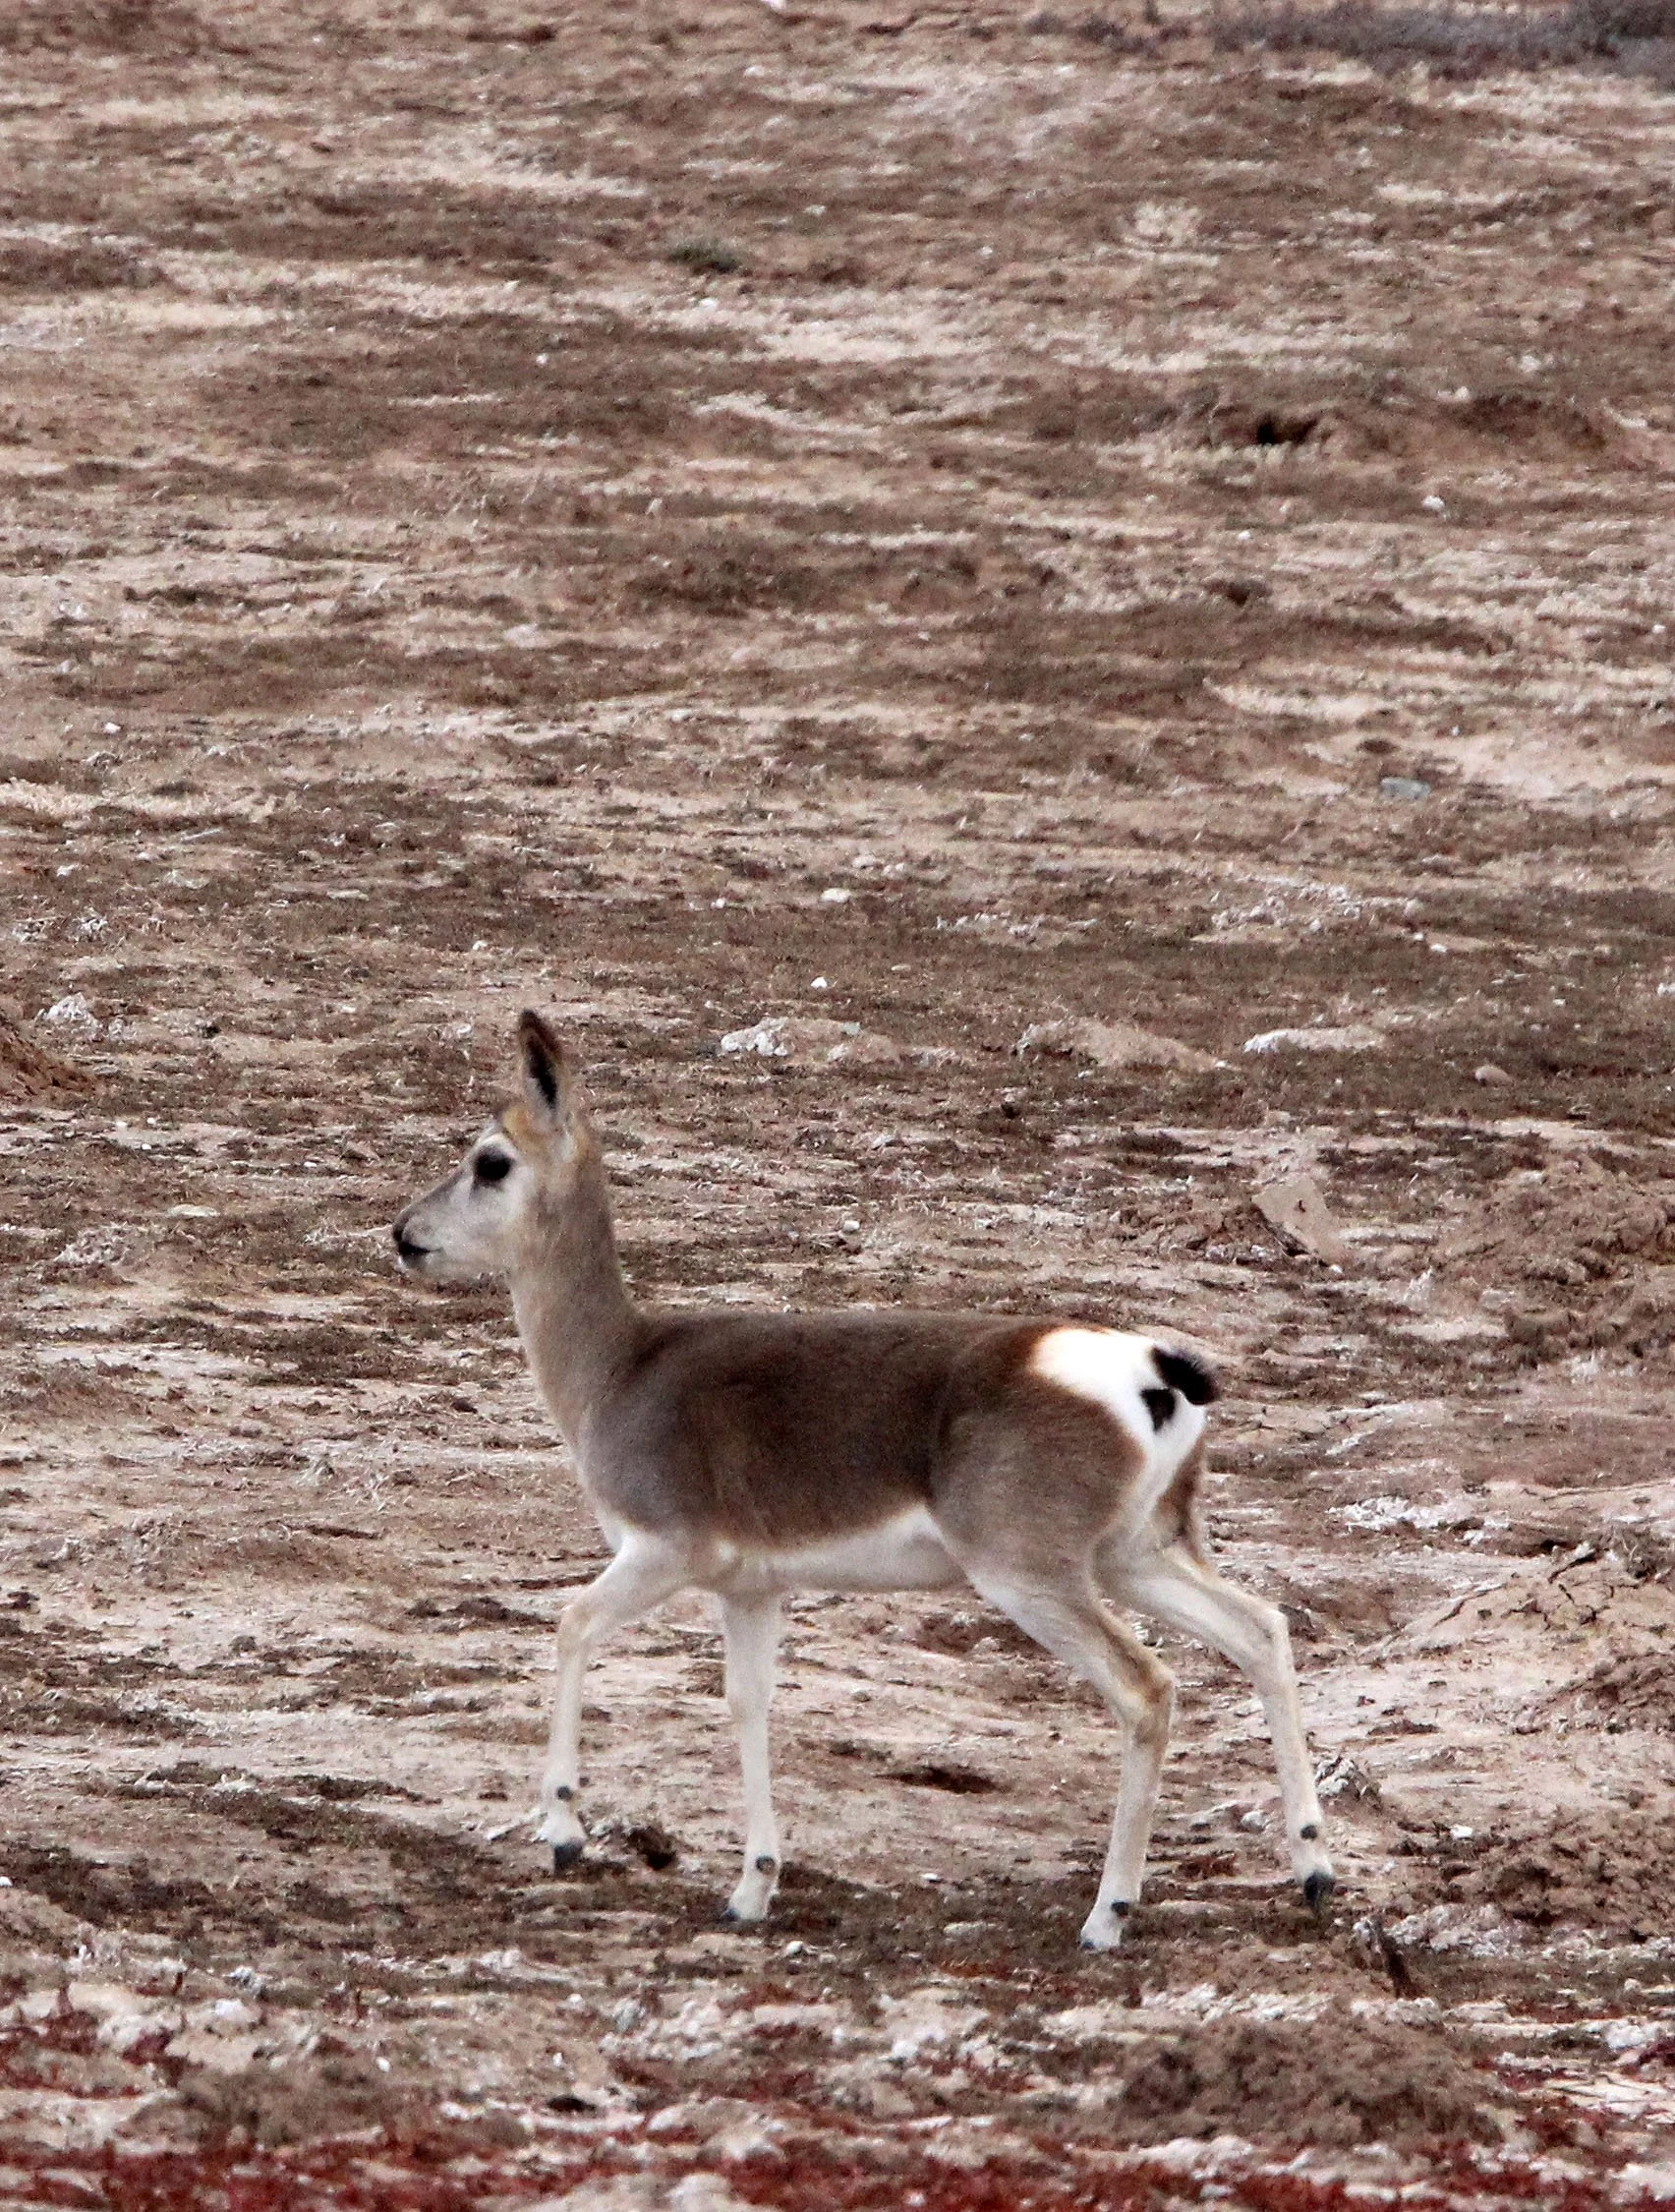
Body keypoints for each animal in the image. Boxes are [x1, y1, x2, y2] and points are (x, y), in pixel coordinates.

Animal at [391, 1011, 1334, 1949]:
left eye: (490, 1161)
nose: (404, 1234)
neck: (624, 1366)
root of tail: (1155, 1371)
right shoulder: (752, 1591)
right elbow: (749, 1703)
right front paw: (753, 1886)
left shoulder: (660, 1554)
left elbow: (571, 1627)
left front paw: (562, 1830)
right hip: (1135, 1559)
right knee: (1261, 1630)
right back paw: (1313, 1871)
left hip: (1033, 1579)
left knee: (1148, 1690)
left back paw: (1109, 1914)